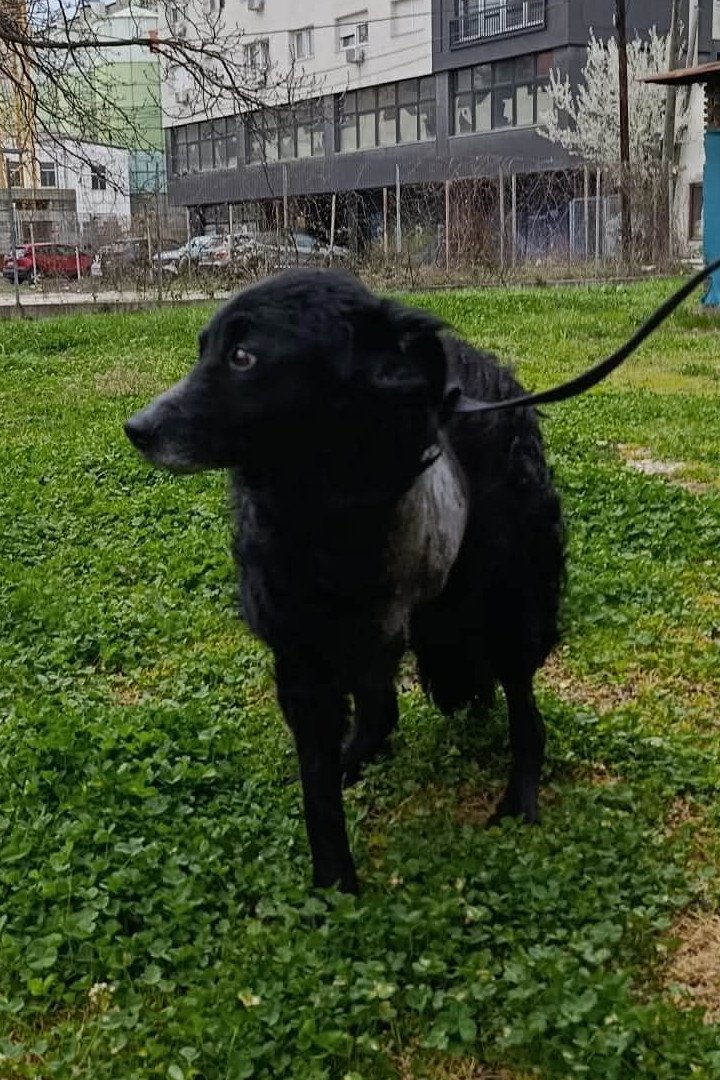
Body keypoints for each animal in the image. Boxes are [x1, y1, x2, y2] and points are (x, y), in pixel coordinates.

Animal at [125, 268, 565, 893]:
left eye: (243, 356)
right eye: (203, 349)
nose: (136, 428)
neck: (326, 505)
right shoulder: (302, 655)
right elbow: (320, 788)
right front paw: (334, 883)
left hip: (507, 599)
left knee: (523, 708)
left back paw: (518, 798)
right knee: (382, 712)